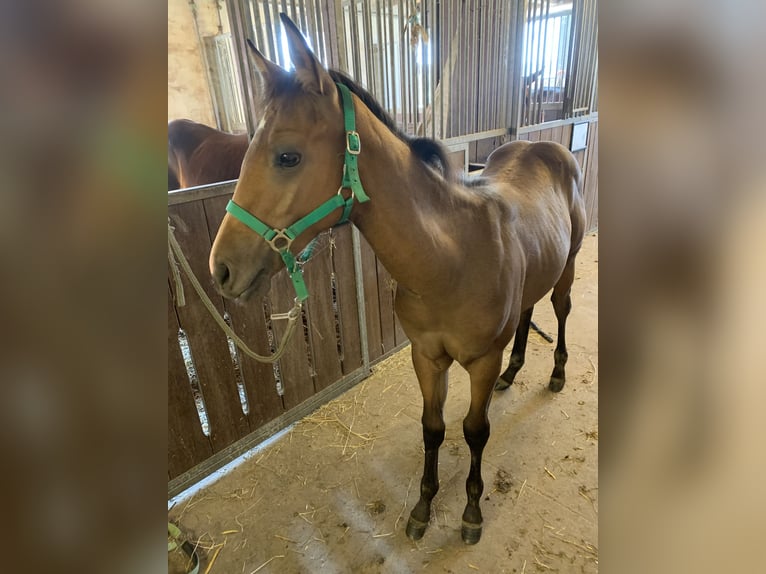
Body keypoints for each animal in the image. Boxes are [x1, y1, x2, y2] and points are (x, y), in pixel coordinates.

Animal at [210, 12, 588, 544]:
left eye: (287, 156)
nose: (221, 268)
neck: (451, 259)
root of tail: (546, 145)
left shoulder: (480, 361)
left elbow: (475, 431)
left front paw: (471, 512)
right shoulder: (426, 356)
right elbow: (433, 428)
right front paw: (423, 508)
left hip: (568, 266)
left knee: (559, 309)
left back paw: (555, 373)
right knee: (527, 313)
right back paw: (514, 373)